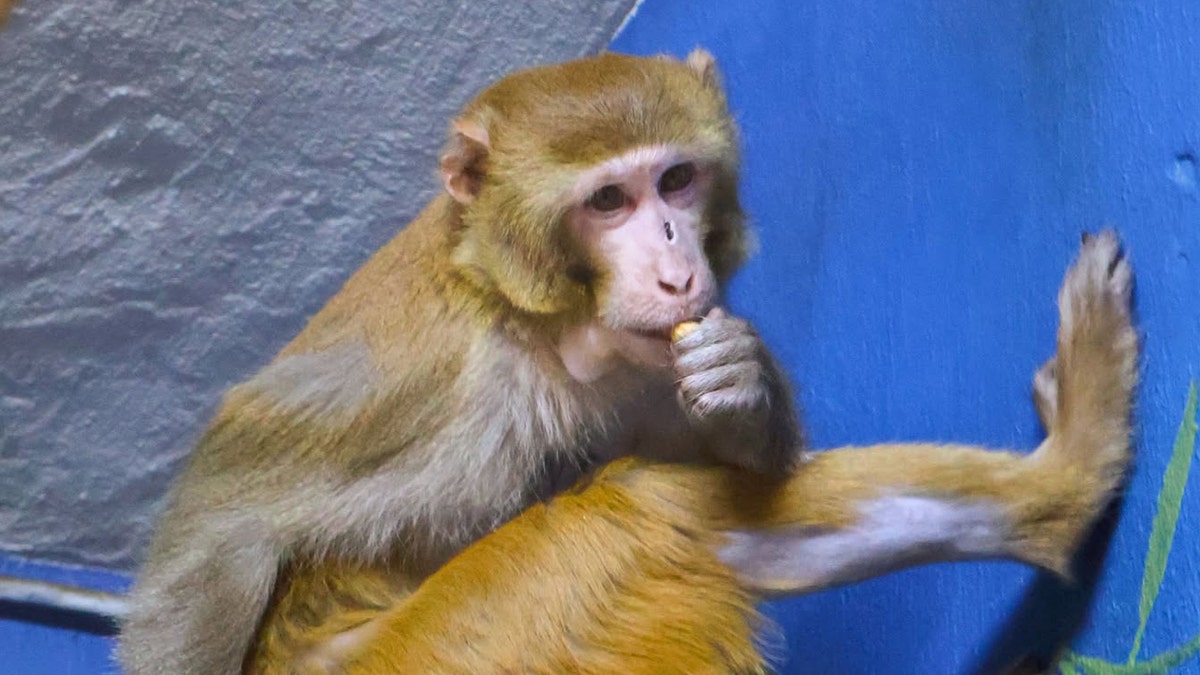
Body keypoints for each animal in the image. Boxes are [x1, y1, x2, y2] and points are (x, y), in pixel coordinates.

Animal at [119, 49, 806, 675]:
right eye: (609, 199)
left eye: (676, 180)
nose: (676, 274)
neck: (539, 328)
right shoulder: (422, 384)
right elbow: (215, 531)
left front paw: (739, 378)